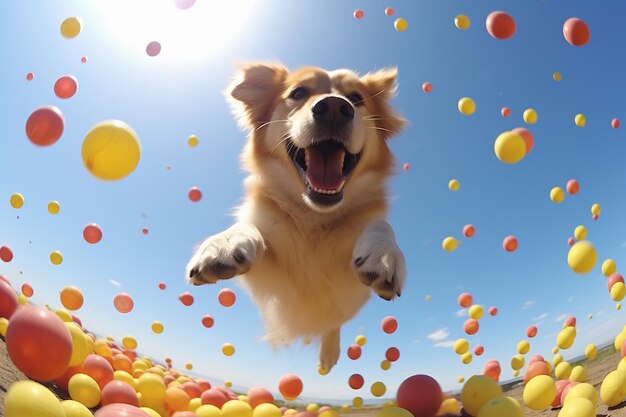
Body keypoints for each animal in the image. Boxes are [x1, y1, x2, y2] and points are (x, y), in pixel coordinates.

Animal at [186, 62, 404, 370]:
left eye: (356, 98)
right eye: (298, 93)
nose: (335, 107)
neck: (313, 215)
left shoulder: (346, 279)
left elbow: (381, 226)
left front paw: (383, 253)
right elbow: (249, 227)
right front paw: (224, 243)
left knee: (333, 321)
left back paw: (329, 353)